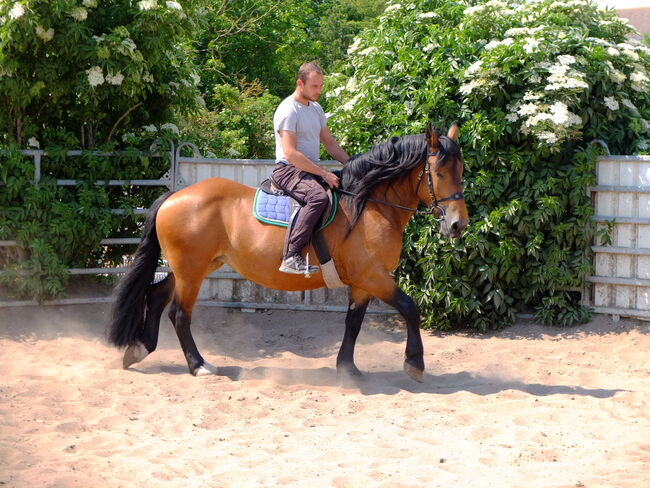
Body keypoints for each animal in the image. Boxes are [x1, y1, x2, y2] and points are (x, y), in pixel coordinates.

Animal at [109, 123, 468, 382]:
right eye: (438, 173)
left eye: (461, 172)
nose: (457, 225)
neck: (368, 206)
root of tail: (174, 196)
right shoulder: (373, 276)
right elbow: (410, 308)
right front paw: (414, 363)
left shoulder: (363, 282)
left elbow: (353, 321)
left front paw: (347, 368)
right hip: (191, 271)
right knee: (179, 313)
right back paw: (199, 365)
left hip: (196, 266)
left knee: (156, 295)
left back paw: (139, 349)